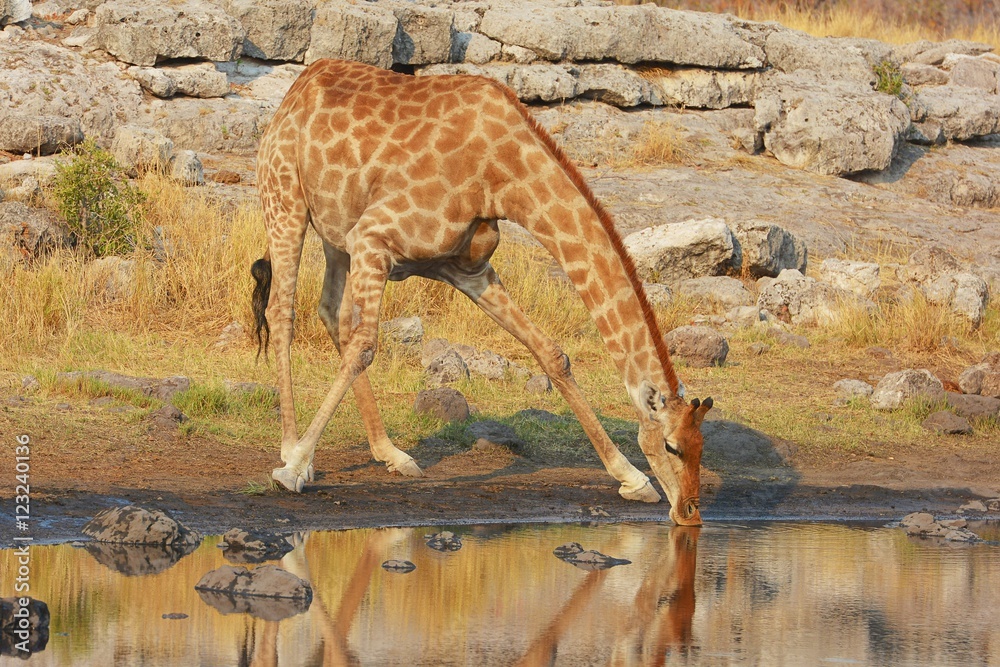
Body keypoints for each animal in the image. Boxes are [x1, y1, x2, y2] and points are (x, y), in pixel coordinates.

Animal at [252, 59, 713, 526]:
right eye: (672, 446)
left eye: (702, 447)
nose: (691, 512)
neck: (504, 177)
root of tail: (298, 86)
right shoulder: (374, 237)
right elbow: (364, 347)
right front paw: (291, 470)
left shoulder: (467, 269)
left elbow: (552, 354)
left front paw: (632, 479)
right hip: (285, 200)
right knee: (283, 313)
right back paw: (293, 451)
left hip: (338, 231)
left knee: (332, 313)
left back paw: (392, 454)